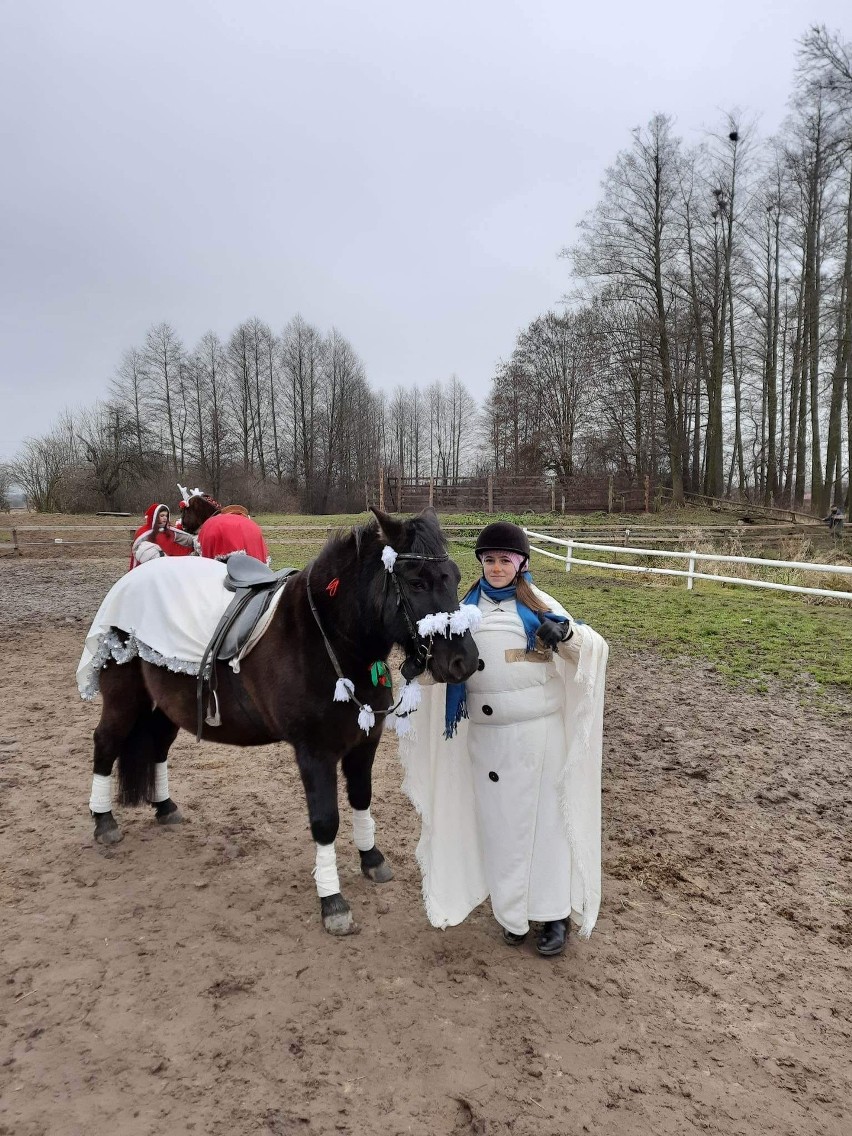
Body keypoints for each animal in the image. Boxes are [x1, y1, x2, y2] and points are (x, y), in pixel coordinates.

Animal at [86, 506, 481, 931]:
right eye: (416, 581)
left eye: (455, 577)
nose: (465, 661)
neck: (327, 638)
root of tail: (135, 577)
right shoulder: (314, 752)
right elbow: (325, 821)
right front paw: (333, 901)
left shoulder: (365, 742)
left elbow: (361, 798)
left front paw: (371, 859)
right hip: (124, 698)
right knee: (106, 743)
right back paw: (104, 821)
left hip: (165, 704)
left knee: (157, 747)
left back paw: (164, 808)